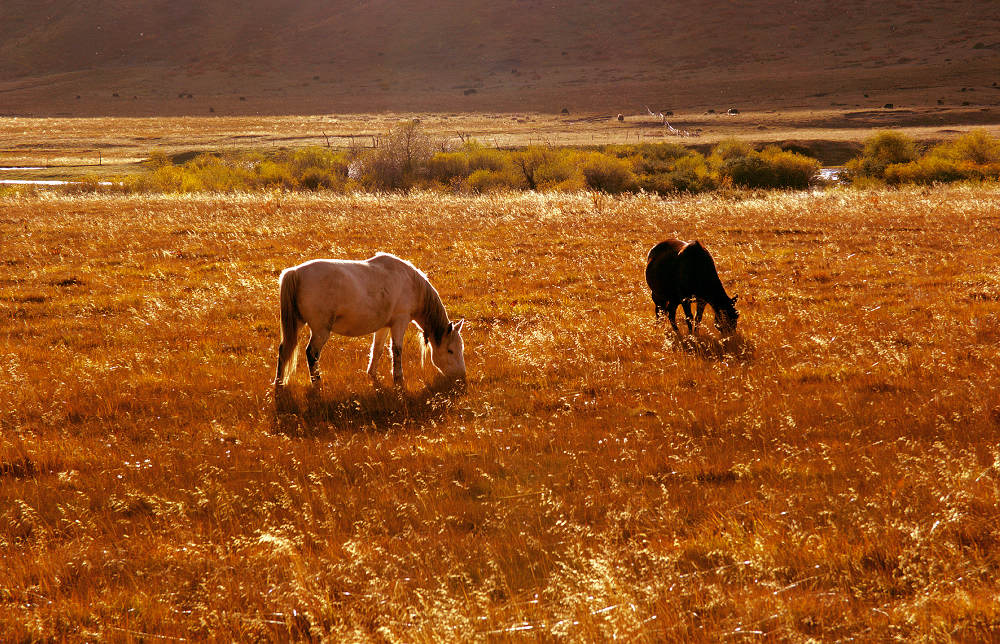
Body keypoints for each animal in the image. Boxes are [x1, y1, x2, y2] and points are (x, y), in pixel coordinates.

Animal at [276, 254, 466, 390]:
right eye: (450, 351)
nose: (461, 378)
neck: (411, 284)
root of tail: (296, 272)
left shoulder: (384, 326)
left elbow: (378, 350)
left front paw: (372, 374)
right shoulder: (400, 322)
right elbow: (397, 350)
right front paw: (398, 379)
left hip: (298, 324)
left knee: (284, 350)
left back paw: (279, 383)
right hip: (321, 330)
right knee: (312, 354)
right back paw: (317, 383)